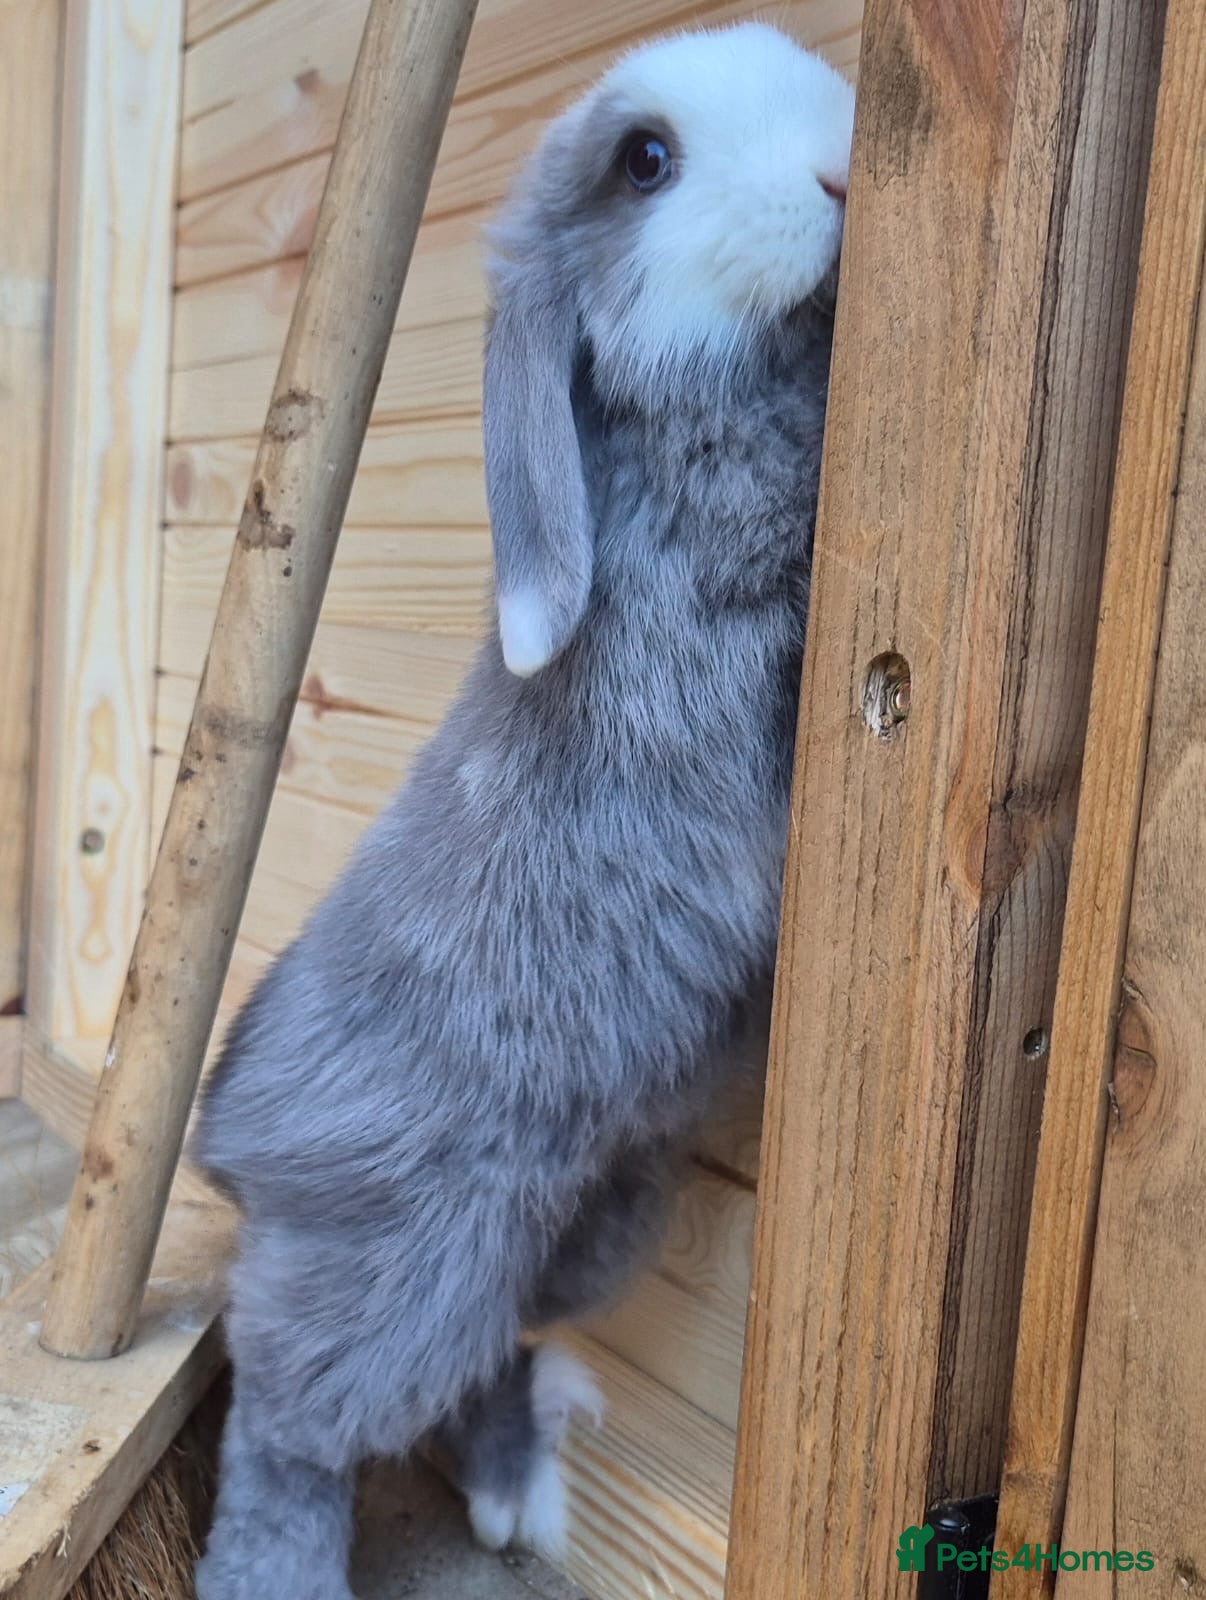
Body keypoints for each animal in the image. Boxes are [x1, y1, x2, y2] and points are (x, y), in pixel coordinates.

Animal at [193, 21, 854, 1600]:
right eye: (646, 162)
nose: (839, 169)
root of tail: (233, 1133)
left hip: (593, 1210)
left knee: (498, 1347)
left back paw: (514, 1501)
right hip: (399, 1263)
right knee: (291, 1423)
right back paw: (287, 1568)